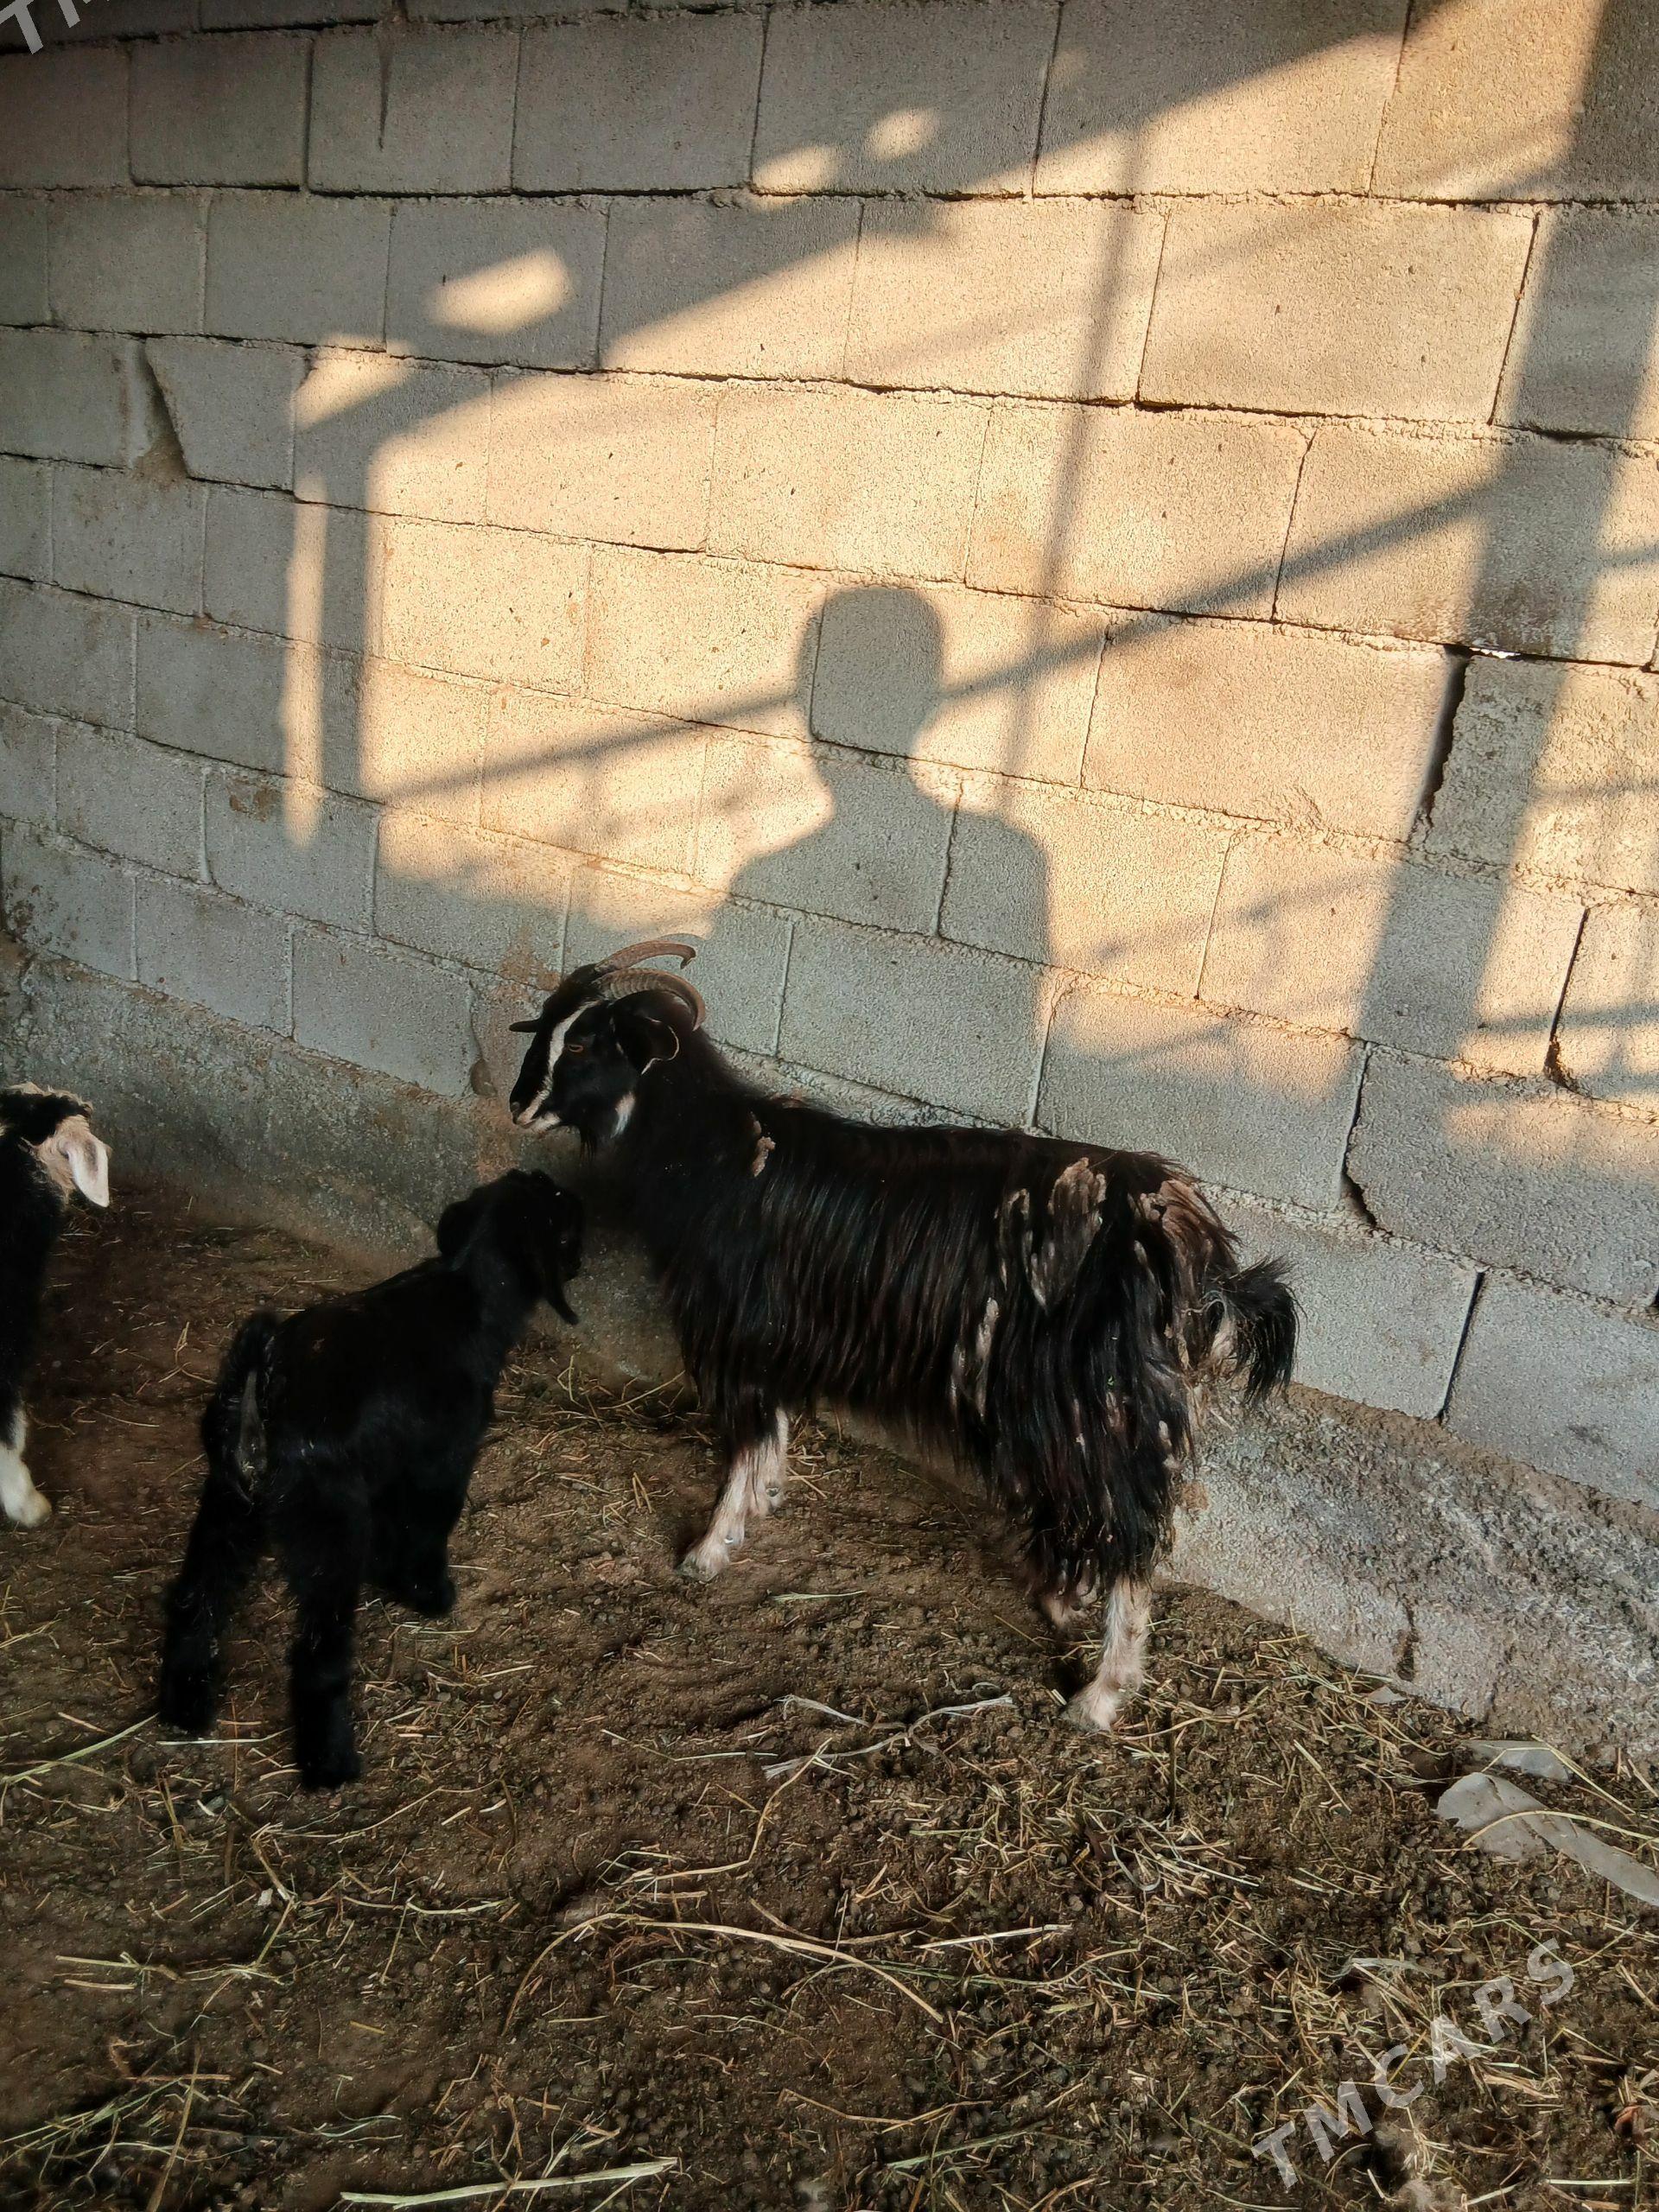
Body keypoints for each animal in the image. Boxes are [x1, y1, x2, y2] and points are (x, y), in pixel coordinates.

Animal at [158, 1170, 583, 1788]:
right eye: (566, 1221)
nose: (585, 1249)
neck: (467, 1289)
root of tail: (263, 1392)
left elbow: (396, 1525)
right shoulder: (444, 1460)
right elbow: (428, 1528)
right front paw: (428, 1593)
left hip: (227, 1505)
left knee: (197, 1599)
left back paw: (185, 1705)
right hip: (327, 1536)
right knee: (317, 1655)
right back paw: (329, 1762)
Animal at [509, 942, 1295, 1733]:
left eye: (586, 1043)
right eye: (549, 1025)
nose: (519, 1106)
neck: (716, 1152)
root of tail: (1190, 1242)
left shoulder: (739, 1329)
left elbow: (746, 1440)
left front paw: (709, 1547)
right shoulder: (780, 1335)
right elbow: (774, 1431)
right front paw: (763, 1503)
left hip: (1096, 1405)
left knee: (1130, 1536)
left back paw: (1099, 1693)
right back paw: (1063, 1600)